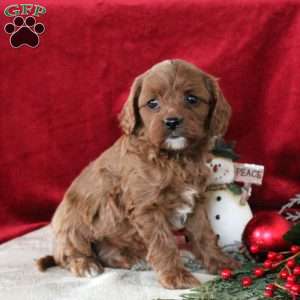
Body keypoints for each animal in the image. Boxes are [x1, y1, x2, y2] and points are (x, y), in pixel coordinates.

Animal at [37, 59, 239, 290]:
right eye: (152, 103)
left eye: (191, 99)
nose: (172, 122)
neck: (175, 157)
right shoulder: (147, 207)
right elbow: (163, 243)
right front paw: (176, 276)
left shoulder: (195, 201)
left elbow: (204, 234)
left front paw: (220, 263)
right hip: (71, 222)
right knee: (67, 253)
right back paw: (85, 264)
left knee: (108, 254)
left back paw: (136, 259)